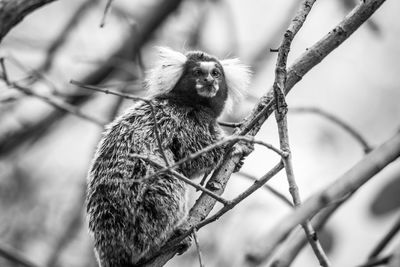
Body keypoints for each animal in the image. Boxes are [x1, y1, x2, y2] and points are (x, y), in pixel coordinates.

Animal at [86, 47, 252, 266]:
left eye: (216, 73)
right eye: (198, 72)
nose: (209, 80)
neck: (191, 102)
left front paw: (238, 161)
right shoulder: (183, 120)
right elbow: (192, 157)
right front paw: (234, 144)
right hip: (141, 219)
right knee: (168, 178)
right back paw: (165, 240)